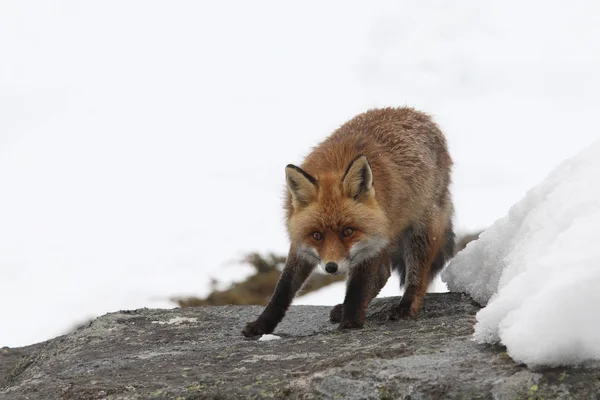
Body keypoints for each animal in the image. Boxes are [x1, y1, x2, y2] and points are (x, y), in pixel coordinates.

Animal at [241, 108, 452, 336]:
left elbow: (357, 288)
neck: (335, 166)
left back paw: (405, 307)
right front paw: (261, 325)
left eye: (348, 231)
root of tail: (419, 114)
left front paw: (351, 321)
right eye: (317, 235)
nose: (331, 267)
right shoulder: (300, 246)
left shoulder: (371, 244)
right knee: (383, 274)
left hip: (419, 231)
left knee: (416, 277)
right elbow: (282, 290)